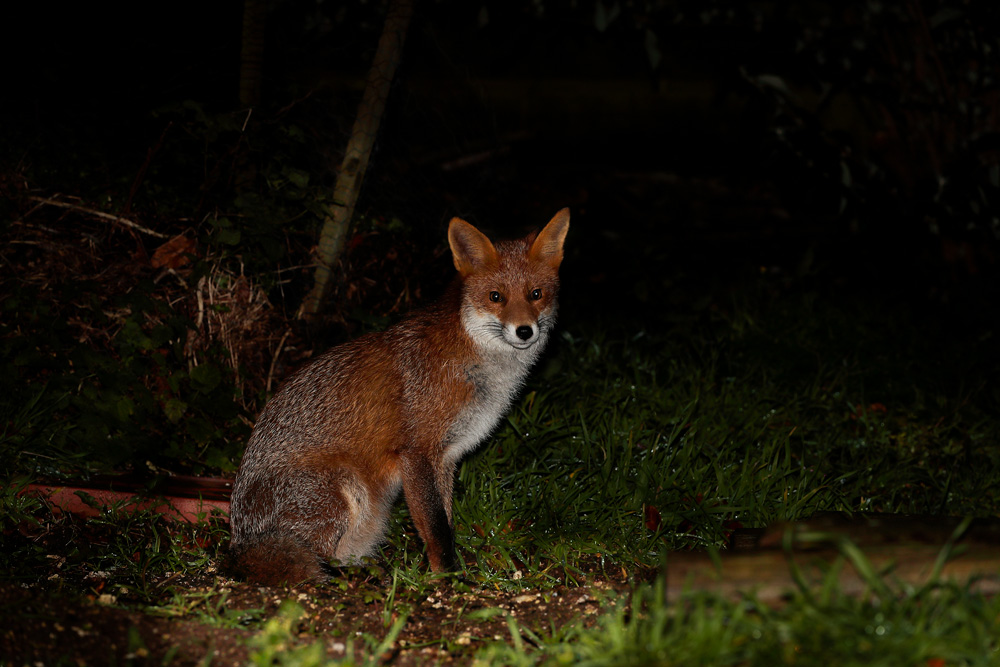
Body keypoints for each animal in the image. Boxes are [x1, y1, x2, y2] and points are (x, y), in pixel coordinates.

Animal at [227, 208, 570, 585]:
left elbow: (444, 520)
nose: (525, 331)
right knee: (317, 558)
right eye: (496, 297)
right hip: (345, 488)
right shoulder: (417, 451)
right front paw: (449, 577)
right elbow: (436, 528)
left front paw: (440, 571)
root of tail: (240, 545)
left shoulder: (445, 457)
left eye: (536, 294)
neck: (478, 365)